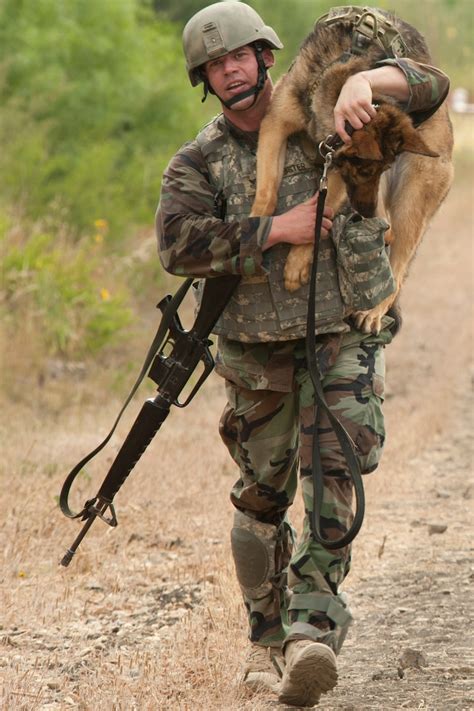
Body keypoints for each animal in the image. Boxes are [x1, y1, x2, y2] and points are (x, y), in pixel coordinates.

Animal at [250, 6, 454, 334]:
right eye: (367, 170)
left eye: (377, 169)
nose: (367, 213)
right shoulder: (275, 126)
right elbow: (267, 193)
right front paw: (254, 225)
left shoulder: (333, 167)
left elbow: (320, 213)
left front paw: (297, 263)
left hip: (410, 204)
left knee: (397, 268)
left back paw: (373, 311)